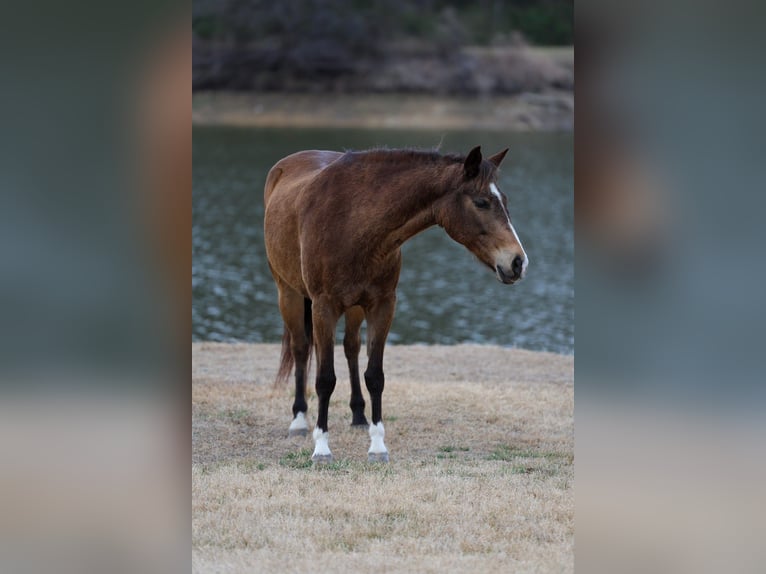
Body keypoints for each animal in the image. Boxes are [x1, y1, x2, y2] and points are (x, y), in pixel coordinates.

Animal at [263, 146, 527, 463]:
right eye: (481, 202)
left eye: (505, 201)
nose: (518, 262)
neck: (352, 220)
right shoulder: (322, 307)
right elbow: (325, 379)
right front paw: (322, 448)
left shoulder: (383, 305)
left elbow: (375, 375)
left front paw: (377, 446)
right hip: (288, 293)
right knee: (301, 349)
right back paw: (299, 421)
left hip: (354, 307)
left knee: (351, 348)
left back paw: (358, 416)